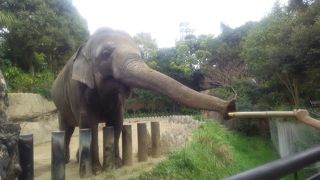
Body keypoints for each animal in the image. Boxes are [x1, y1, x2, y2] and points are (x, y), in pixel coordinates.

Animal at [51, 27, 236, 174]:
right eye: (105, 54)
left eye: (141, 55)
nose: (230, 105)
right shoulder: (77, 90)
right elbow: (90, 124)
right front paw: (96, 171)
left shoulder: (117, 101)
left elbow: (116, 122)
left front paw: (117, 165)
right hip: (61, 104)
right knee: (67, 129)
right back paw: (68, 161)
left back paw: (77, 160)